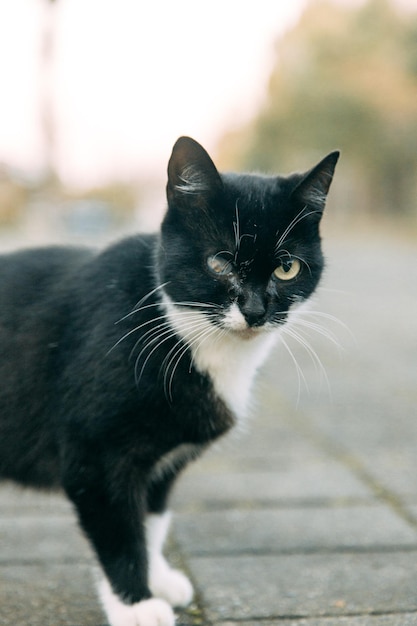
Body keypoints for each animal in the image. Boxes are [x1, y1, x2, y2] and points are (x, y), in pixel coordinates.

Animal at [0, 138, 338, 624]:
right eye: (219, 263)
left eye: (287, 268)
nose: (256, 310)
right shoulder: (95, 456)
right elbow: (120, 530)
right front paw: (136, 604)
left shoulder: (164, 462)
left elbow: (152, 520)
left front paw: (157, 579)